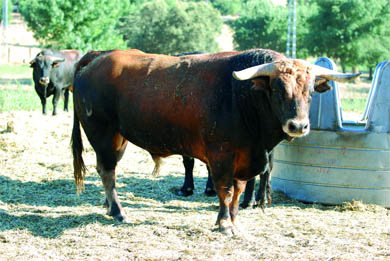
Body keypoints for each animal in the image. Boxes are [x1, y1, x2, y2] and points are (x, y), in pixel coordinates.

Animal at [71, 48, 360, 234]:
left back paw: (108, 205)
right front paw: (223, 223)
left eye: (311, 91)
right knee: (107, 171)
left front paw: (234, 218)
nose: (298, 125)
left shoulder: (245, 159)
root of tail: (97, 57)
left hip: (119, 138)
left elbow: (239, 192)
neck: (242, 97)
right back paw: (118, 211)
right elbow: (225, 190)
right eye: (278, 90)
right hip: (103, 133)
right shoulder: (221, 156)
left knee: (107, 170)